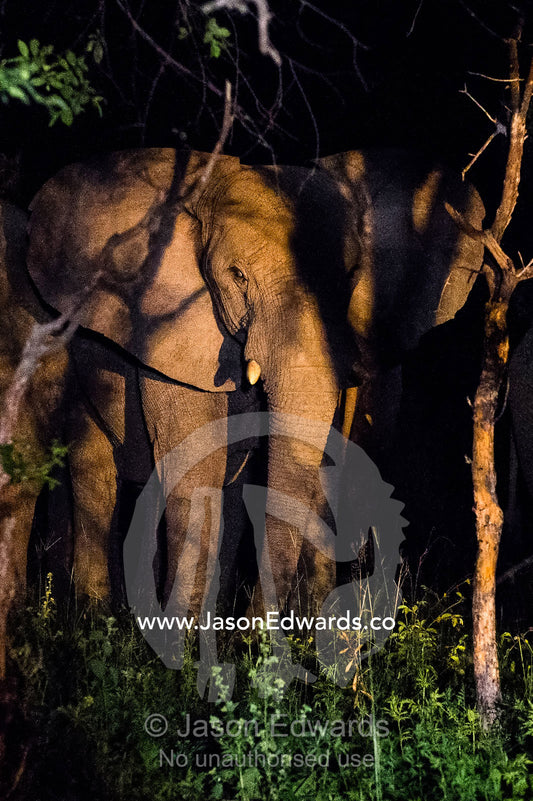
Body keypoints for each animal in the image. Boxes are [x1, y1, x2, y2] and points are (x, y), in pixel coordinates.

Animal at [25, 147, 485, 623]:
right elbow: (195, 464)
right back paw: (95, 617)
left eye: (350, 281)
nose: (258, 627)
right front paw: (181, 640)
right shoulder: (172, 330)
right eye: (238, 275)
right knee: (94, 471)